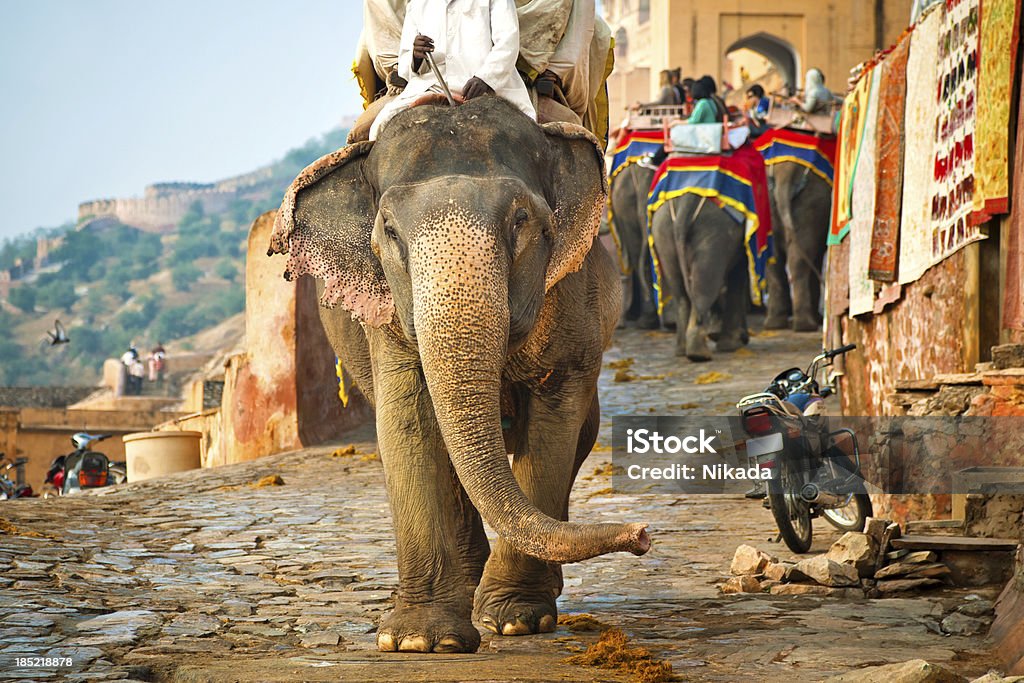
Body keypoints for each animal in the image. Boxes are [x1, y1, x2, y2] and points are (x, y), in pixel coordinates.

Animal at [266, 97, 647, 655]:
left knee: (582, 433)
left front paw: (513, 620)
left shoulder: (573, 294)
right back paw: (466, 588)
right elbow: (406, 418)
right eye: (390, 232)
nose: (641, 535)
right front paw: (418, 642)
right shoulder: (388, 314)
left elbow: (553, 423)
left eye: (521, 220)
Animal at [647, 194, 753, 360]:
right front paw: (731, 345)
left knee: (681, 293)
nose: (745, 337)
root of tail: (686, 202)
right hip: (713, 233)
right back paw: (699, 353)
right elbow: (738, 274)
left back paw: (682, 350)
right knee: (704, 286)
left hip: (662, 231)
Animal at [761, 160, 831, 331]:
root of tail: (784, 173)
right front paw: (818, 319)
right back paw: (806, 325)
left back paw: (774, 324)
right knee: (800, 260)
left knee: (773, 260)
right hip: (811, 203)